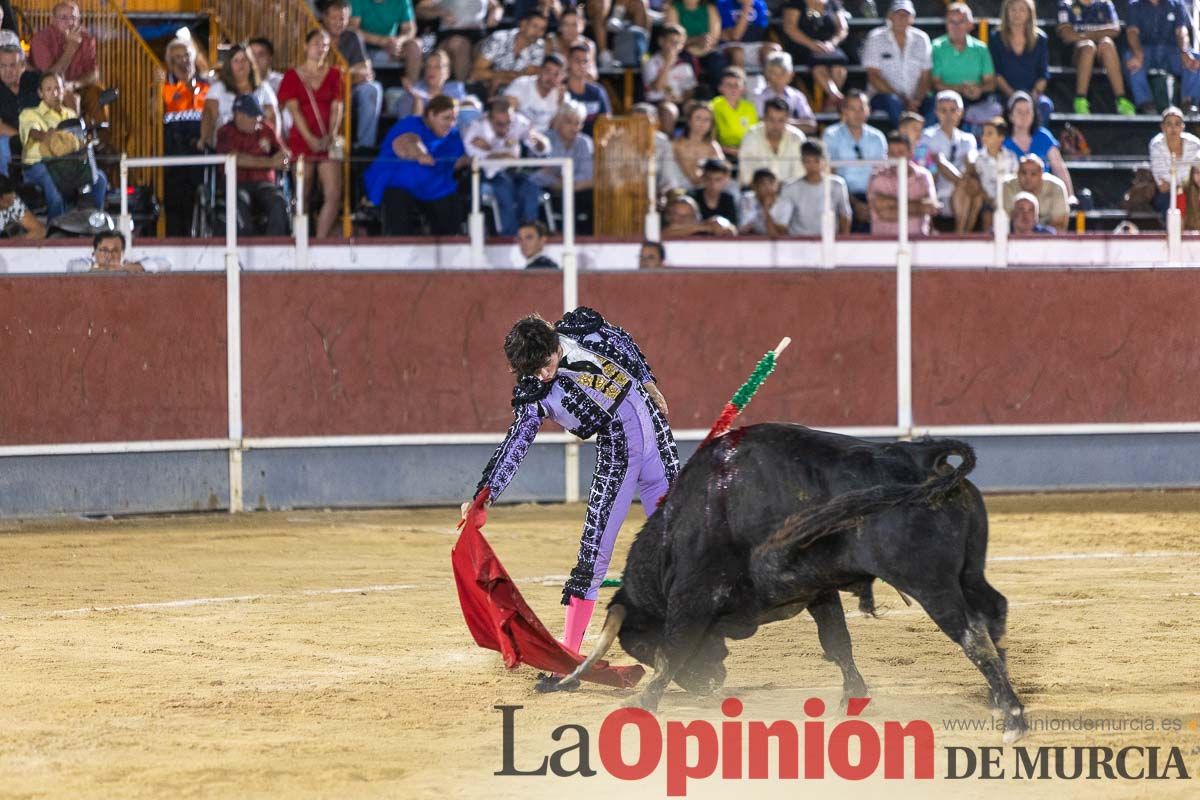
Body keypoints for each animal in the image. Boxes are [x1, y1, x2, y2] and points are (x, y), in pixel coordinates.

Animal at [549, 424, 1027, 743]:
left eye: (642, 646)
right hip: (968, 573)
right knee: (993, 610)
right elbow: (837, 644)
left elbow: (675, 650)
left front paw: (642, 702)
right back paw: (997, 696)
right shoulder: (820, 590)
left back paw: (1013, 719)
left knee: (973, 636)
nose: (708, 686)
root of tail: (920, 459)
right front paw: (850, 701)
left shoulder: (693, 597)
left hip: (930, 583)